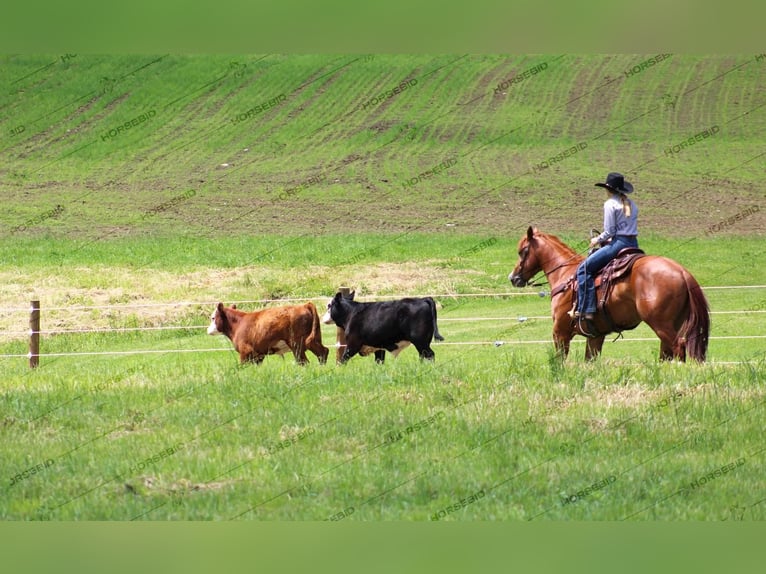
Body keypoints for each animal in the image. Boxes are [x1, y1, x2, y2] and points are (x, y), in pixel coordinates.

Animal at [510, 227, 712, 362]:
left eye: (522, 251)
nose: (513, 278)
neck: (565, 275)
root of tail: (682, 272)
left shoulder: (560, 332)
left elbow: (559, 362)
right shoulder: (595, 336)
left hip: (661, 324)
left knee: (678, 347)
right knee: (667, 353)